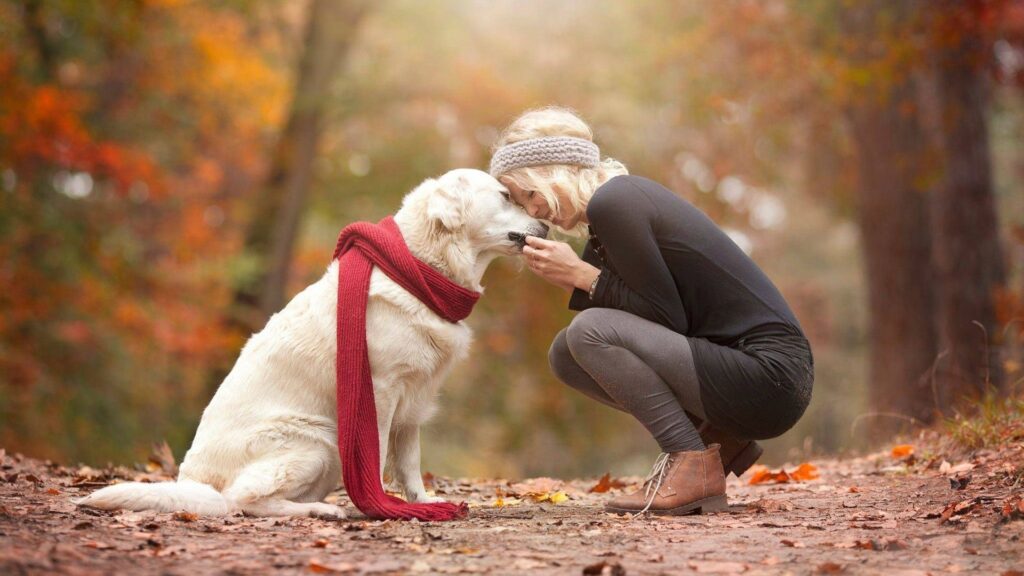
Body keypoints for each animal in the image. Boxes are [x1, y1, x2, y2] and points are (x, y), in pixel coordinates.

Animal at [80, 169, 548, 516]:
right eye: (505, 196)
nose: (545, 224)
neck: (420, 269)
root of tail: (194, 482)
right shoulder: (380, 390)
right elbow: (377, 454)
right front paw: (379, 505)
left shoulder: (414, 400)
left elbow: (410, 461)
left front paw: (421, 502)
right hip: (317, 441)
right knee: (242, 501)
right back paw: (322, 510)